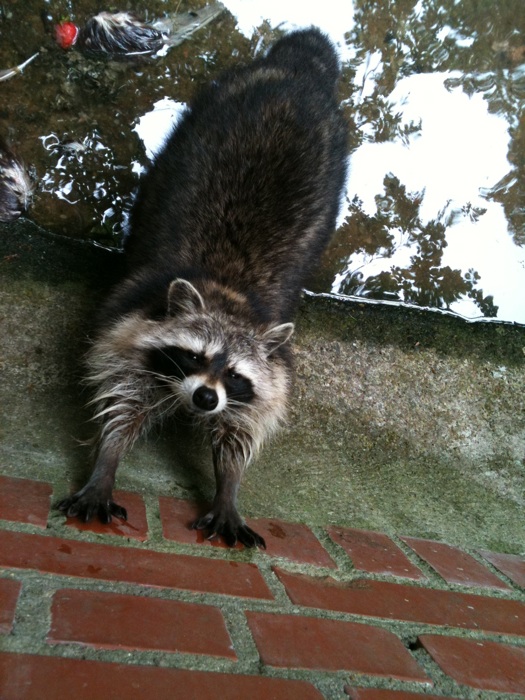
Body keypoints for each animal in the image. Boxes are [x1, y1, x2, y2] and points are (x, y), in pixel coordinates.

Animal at [57, 27, 348, 548]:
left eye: (235, 375)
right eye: (194, 356)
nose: (206, 399)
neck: (227, 295)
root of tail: (298, 71)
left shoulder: (268, 373)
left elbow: (241, 428)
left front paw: (228, 485)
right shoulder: (129, 324)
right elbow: (121, 399)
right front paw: (107, 459)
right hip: (202, 117)